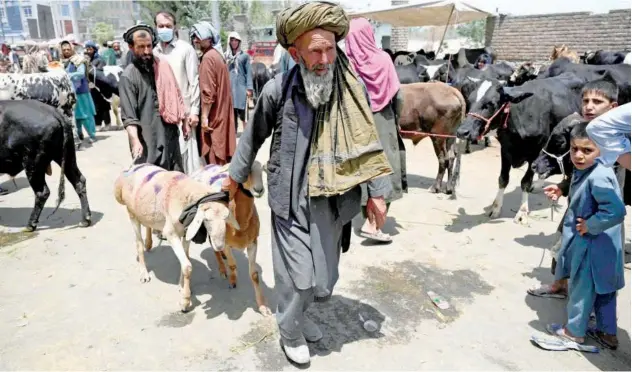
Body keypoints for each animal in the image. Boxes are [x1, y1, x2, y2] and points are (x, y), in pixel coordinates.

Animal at [0, 100, 92, 231]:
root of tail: (54, 112)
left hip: (32, 164)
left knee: (42, 192)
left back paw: (30, 224)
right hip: (66, 156)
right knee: (79, 181)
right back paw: (85, 219)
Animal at [115, 164, 238, 312]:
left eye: (226, 218)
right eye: (207, 220)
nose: (220, 246)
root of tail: (133, 167)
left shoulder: (186, 233)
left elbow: (185, 259)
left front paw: (182, 287)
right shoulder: (170, 233)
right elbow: (187, 266)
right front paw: (185, 301)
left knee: (148, 225)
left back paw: (149, 243)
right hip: (132, 214)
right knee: (138, 244)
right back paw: (144, 273)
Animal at [188, 161, 272, 316]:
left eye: (261, 170)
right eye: (245, 171)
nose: (259, 189)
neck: (240, 225)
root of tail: (205, 166)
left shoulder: (253, 242)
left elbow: (254, 274)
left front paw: (263, 307)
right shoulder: (226, 243)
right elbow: (233, 265)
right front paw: (233, 281)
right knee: (214, 247)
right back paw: (222, 269)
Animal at [456, 72, 584, 224]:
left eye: (490, 104)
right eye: (470, 100)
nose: (462, 131)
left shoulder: (536, 152)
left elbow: (525, 182)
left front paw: (522, 212)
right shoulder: (505, 150)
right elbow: (503, 179)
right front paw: (496, 208)